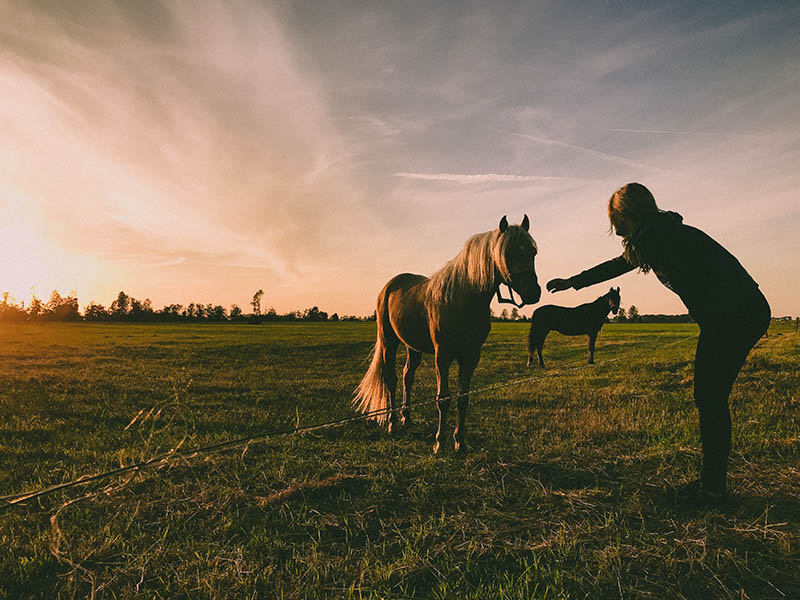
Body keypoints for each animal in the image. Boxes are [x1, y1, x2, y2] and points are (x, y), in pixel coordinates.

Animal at [354, 213, 540, 452]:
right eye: (508, 252)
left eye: (533, 252)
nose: (533, 292)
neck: (463, 298)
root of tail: (390, 286)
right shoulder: (442, 356)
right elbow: (443, 398)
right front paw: (439, 443)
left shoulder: (471, 356)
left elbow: (463, 398)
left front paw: (459, 442)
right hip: (389, 342)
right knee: (391, 379)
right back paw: (392, 424)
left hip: (412, 347)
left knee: (407, 377)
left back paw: (406, 419)